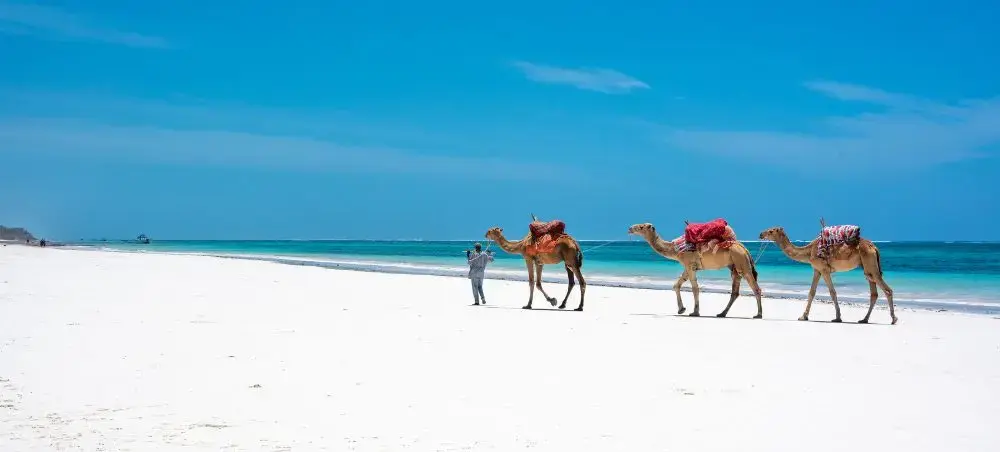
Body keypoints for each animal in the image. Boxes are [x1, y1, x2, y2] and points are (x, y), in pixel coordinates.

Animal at [627, 223, 763, 318]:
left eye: (641, 226)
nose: (630, 228)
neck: (675, 249)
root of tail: (744, 248)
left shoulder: (689, 264)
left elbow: (694, 288)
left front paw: (695, 312)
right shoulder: (689, 267)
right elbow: (677, 285)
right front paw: (681, 309)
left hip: (742, 263)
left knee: (755, 288)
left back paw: (758, 314)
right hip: (734, 266)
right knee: (735, 292)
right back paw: (721, 314)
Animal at [758, 226, 896, 325]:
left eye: (771, 231)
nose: (760, 234)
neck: (809, 251)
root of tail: (874, 247)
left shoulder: (824, 270)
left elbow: (832, 292)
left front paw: (837, 318)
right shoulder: (817, 270)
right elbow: (811, 292)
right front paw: (803, 316)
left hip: (870, 263)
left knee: (887, 290)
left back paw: (893, 319)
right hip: (867, 266)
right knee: (874, 293)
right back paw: (864, 319)